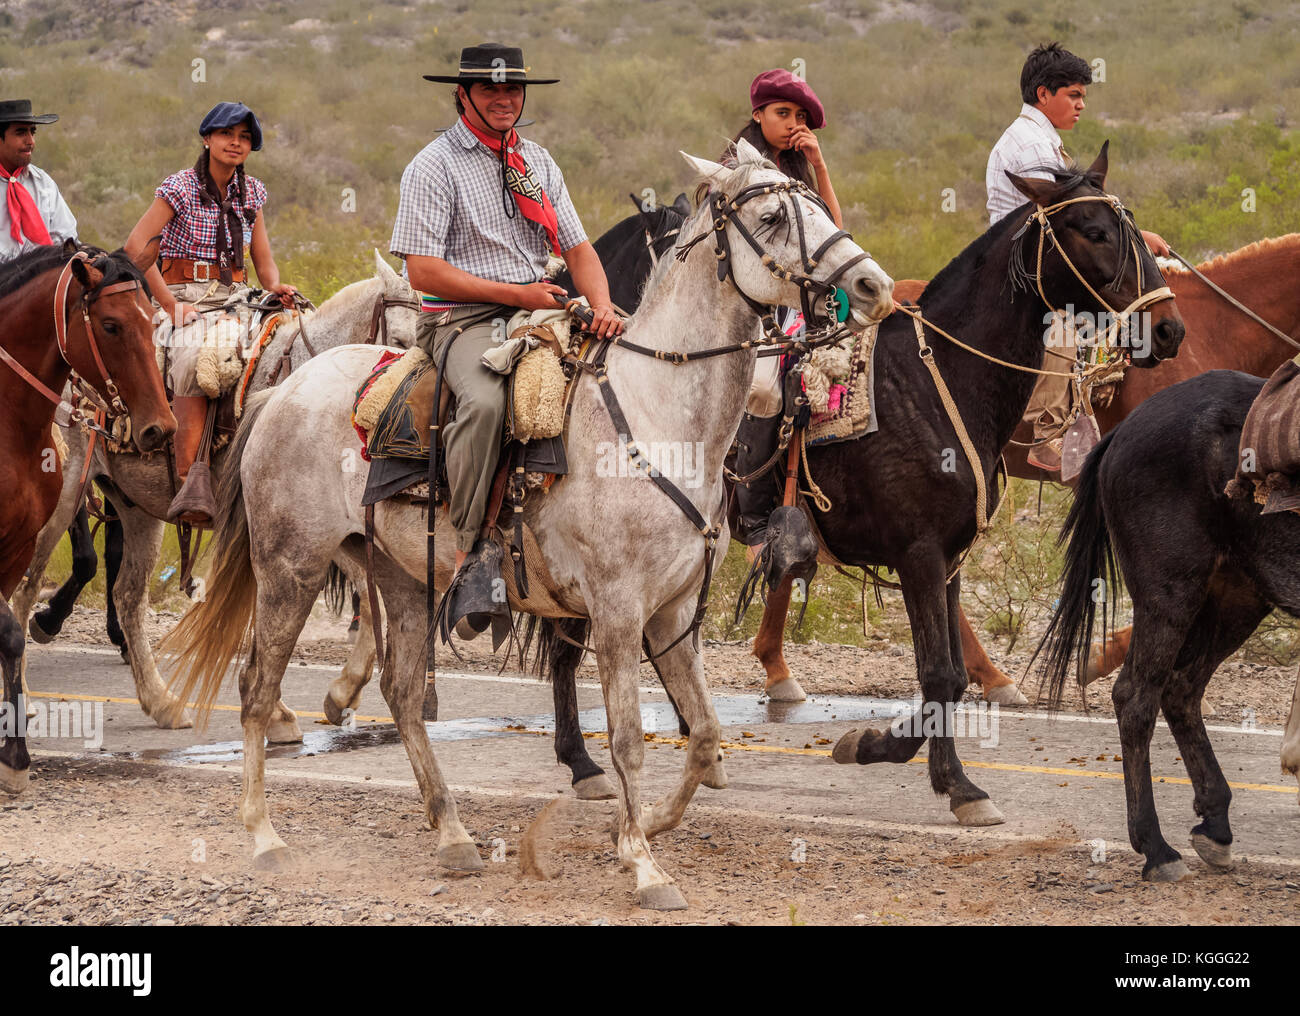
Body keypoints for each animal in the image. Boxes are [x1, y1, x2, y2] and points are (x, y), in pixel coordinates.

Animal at [8, 250, 422, 736]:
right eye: (399, 338)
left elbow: (366, 601)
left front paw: (334, 696)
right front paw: (289, 707)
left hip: (136, 509)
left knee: (128, 596)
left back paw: (162, 702)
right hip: (62, 499)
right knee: (25, 589)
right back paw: (24, 696)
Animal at [159, 140, 895, 909]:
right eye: (774, 216)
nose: (873, 286)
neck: (657, 415)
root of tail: (281, 390)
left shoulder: (671, 613)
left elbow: (703, 733)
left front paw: (647, 827)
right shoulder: (618, 613)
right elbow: (628, 739)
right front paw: (644, 863)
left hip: (398, 575)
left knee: (402, 695)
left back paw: (452, 835)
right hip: (291, 567)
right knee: (256, 688)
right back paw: (264, 836)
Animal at [1038, 369, 1298, 880]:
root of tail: (1126, 428)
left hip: (1236, 597)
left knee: (1181, 689)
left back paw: (1215, 824)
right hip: (1172, 593)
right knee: (1137, 697)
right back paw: (1156, 848)